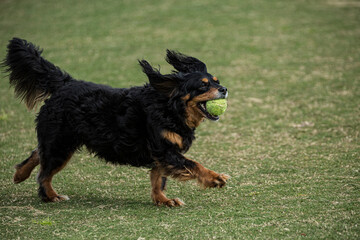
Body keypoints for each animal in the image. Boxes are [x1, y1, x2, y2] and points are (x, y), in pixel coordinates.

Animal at [2, 38, 229, 206]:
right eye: (203, 86)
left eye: (216, 81)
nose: (224, 89)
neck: (169, 107)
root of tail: (65, 84)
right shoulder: (165, 151)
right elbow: (193, 165)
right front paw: (215, 177)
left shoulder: (160, 155)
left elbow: (158, 180)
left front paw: (163, 200)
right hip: (61, 145)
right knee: (44, 173)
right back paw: (51, 196)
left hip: (61, 142)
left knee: (39, 153)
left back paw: (20, 175)